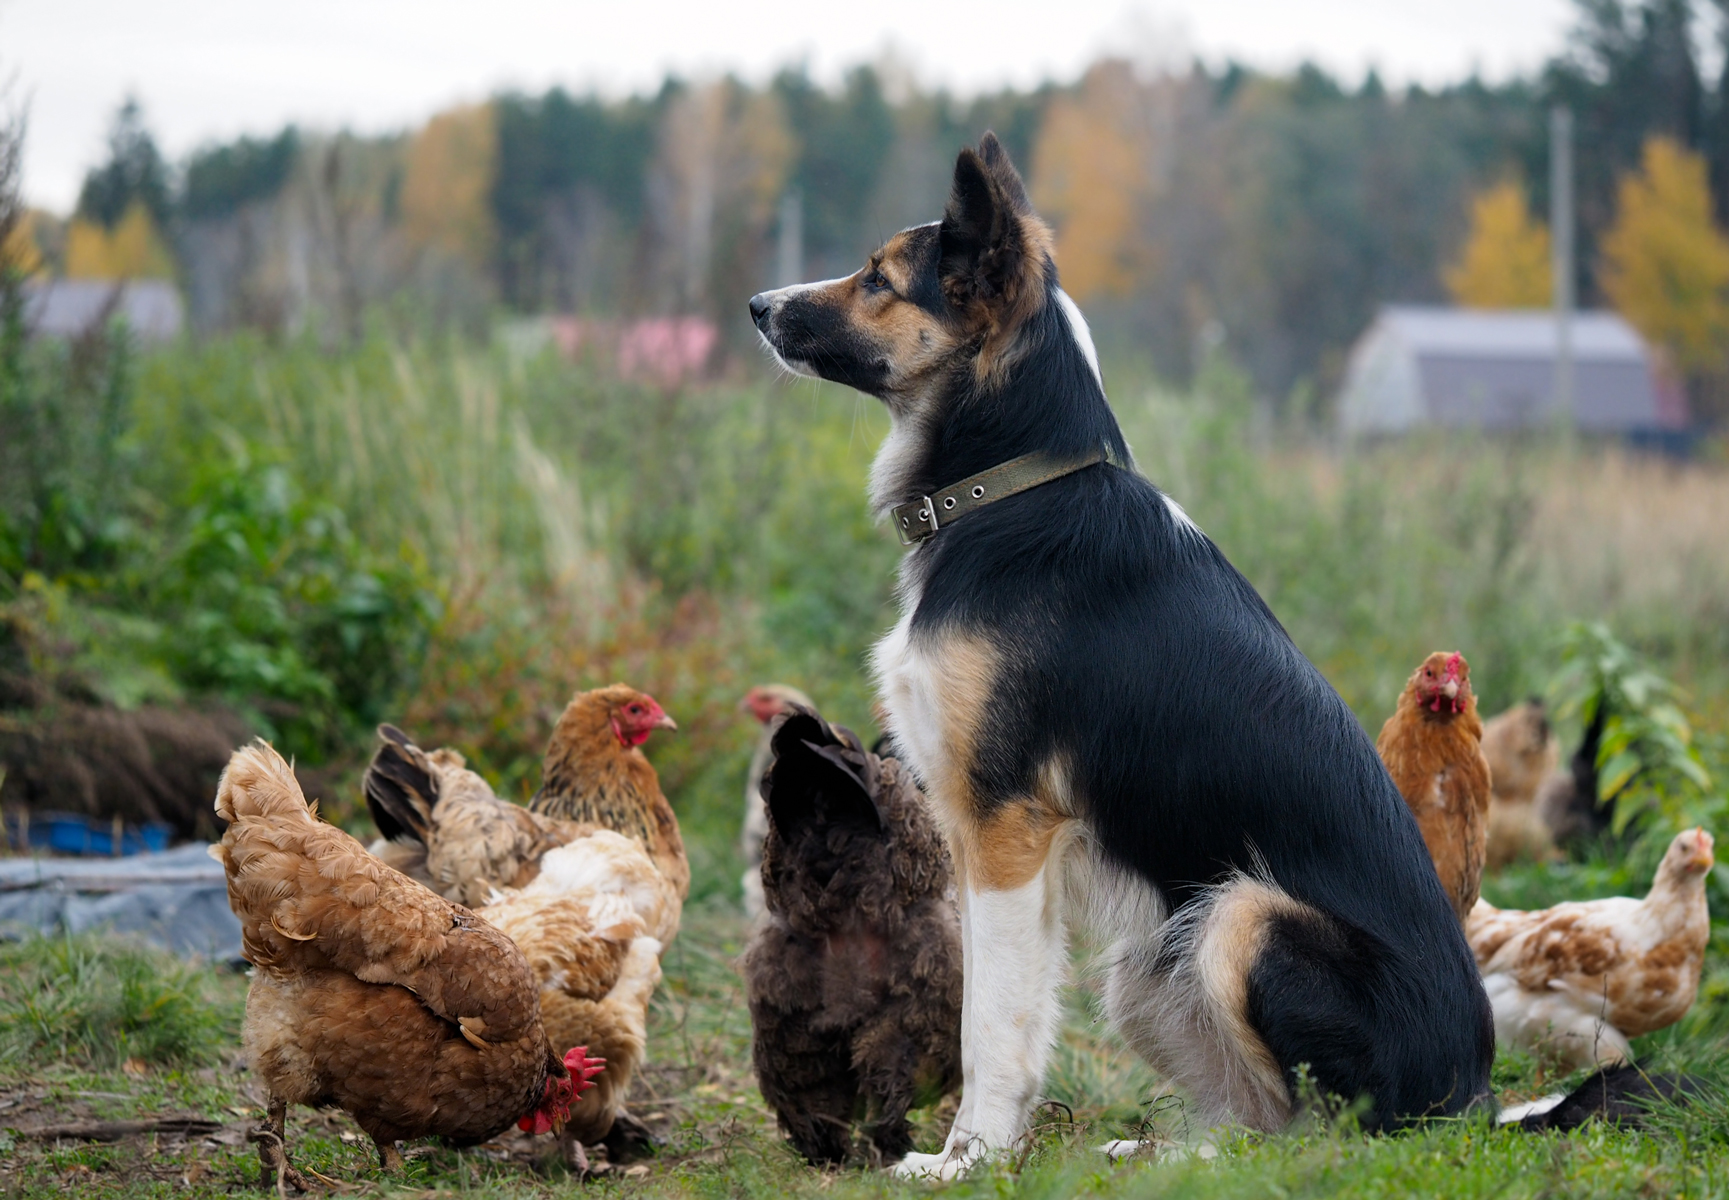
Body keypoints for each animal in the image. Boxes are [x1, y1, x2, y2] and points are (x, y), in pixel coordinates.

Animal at [750, 136, 1493, 1182]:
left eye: (877, 279)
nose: (756, 306)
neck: (1010, 488)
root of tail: (1475, 1100)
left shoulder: (1005, 829)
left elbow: (991, 1024)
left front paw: (969, 1160)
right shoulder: (983, 842)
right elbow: (999, 1010)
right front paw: (986, 1152)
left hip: (1238, 920)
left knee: (1327, 1137)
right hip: (1152, 961)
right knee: (1263, 1119)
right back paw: (1160, 1151)